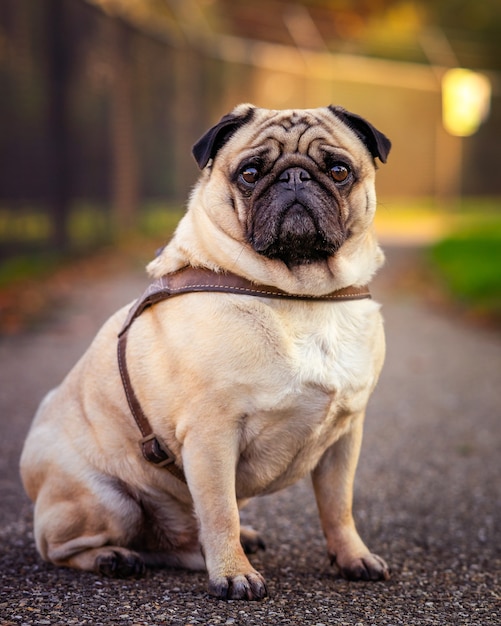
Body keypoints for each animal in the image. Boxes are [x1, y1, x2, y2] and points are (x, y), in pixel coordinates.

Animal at [20, 103, 390, 600]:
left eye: (339, 170)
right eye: (250, 173)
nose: (294, 176)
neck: (301, 295)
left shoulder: (345, 437)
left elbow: (338, 507)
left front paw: (353, 557)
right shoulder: (212, 435)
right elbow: (220, 512)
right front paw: (234, 575)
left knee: (180, 542)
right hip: (107, 499)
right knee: (60, 547)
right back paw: (114, 558)